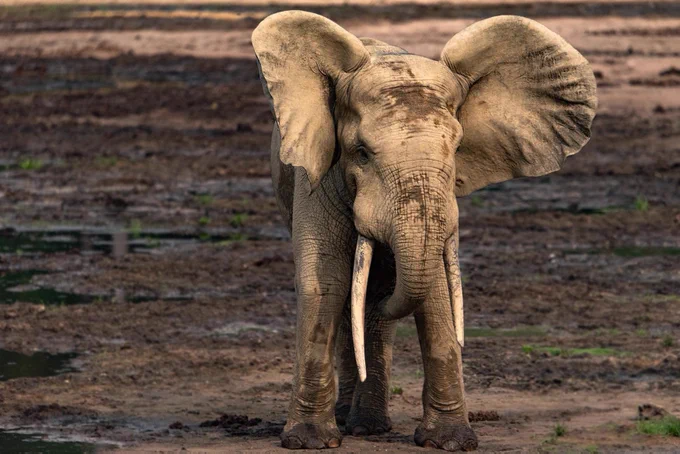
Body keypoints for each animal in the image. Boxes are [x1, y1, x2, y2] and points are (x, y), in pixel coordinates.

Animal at [252, 11, 596, 451]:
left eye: (457, 149)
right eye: (361, 152)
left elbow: (434, 288)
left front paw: (450, 440)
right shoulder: (319, 174)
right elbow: (326, 280)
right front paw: (308, 441)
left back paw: (367, 425)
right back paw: (353, 421)